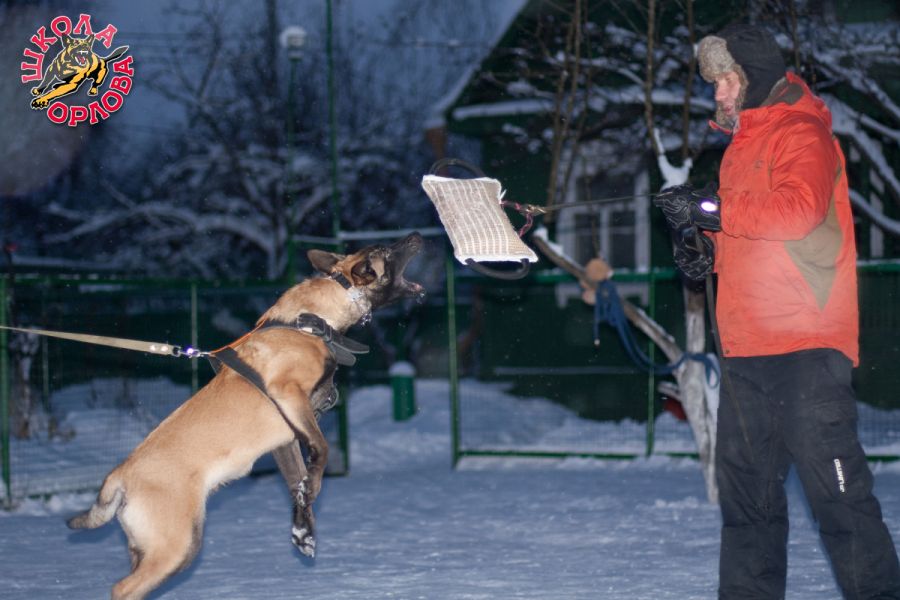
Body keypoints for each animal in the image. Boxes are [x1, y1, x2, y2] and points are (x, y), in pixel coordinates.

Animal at [67, 233, 424, 600]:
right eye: (386, 251)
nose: (416, 236)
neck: (311, 321)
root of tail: (119, 476)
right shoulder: (289, 395)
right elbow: (321, 452)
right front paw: (310, 496)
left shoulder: (285, 440)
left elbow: (299, 481)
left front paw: (303, 527)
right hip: (176, 545)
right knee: (123, 588)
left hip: (154, 547)